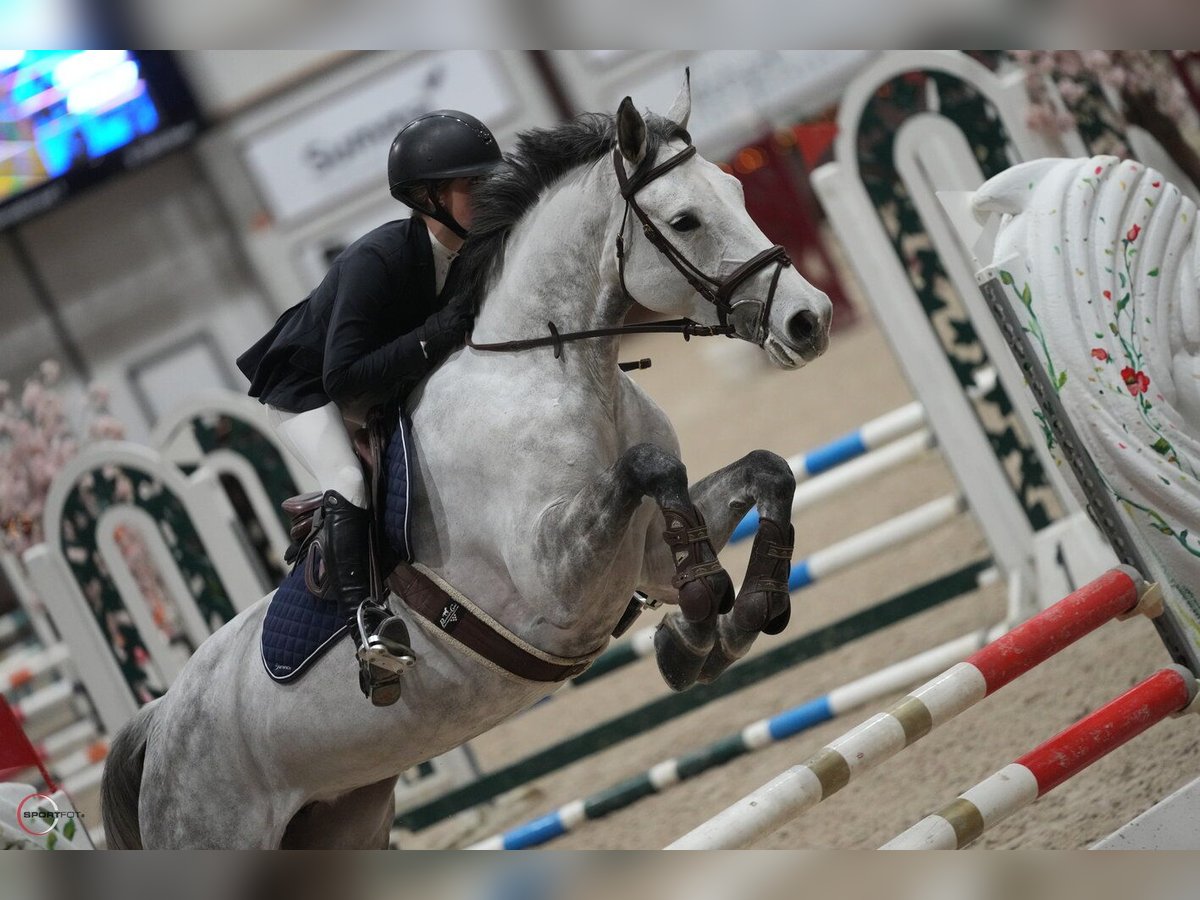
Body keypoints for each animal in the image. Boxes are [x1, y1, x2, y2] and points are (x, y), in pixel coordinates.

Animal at [98, 81, 830, 849]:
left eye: (737, 189)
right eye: (686, 220)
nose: (811, 320)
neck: (552, 367)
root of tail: (160, 721)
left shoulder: (648, 554)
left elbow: (767, 471)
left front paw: (728, 621)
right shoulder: (555, 585)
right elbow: (648, 466)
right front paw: (699, 617)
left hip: (345, 822)